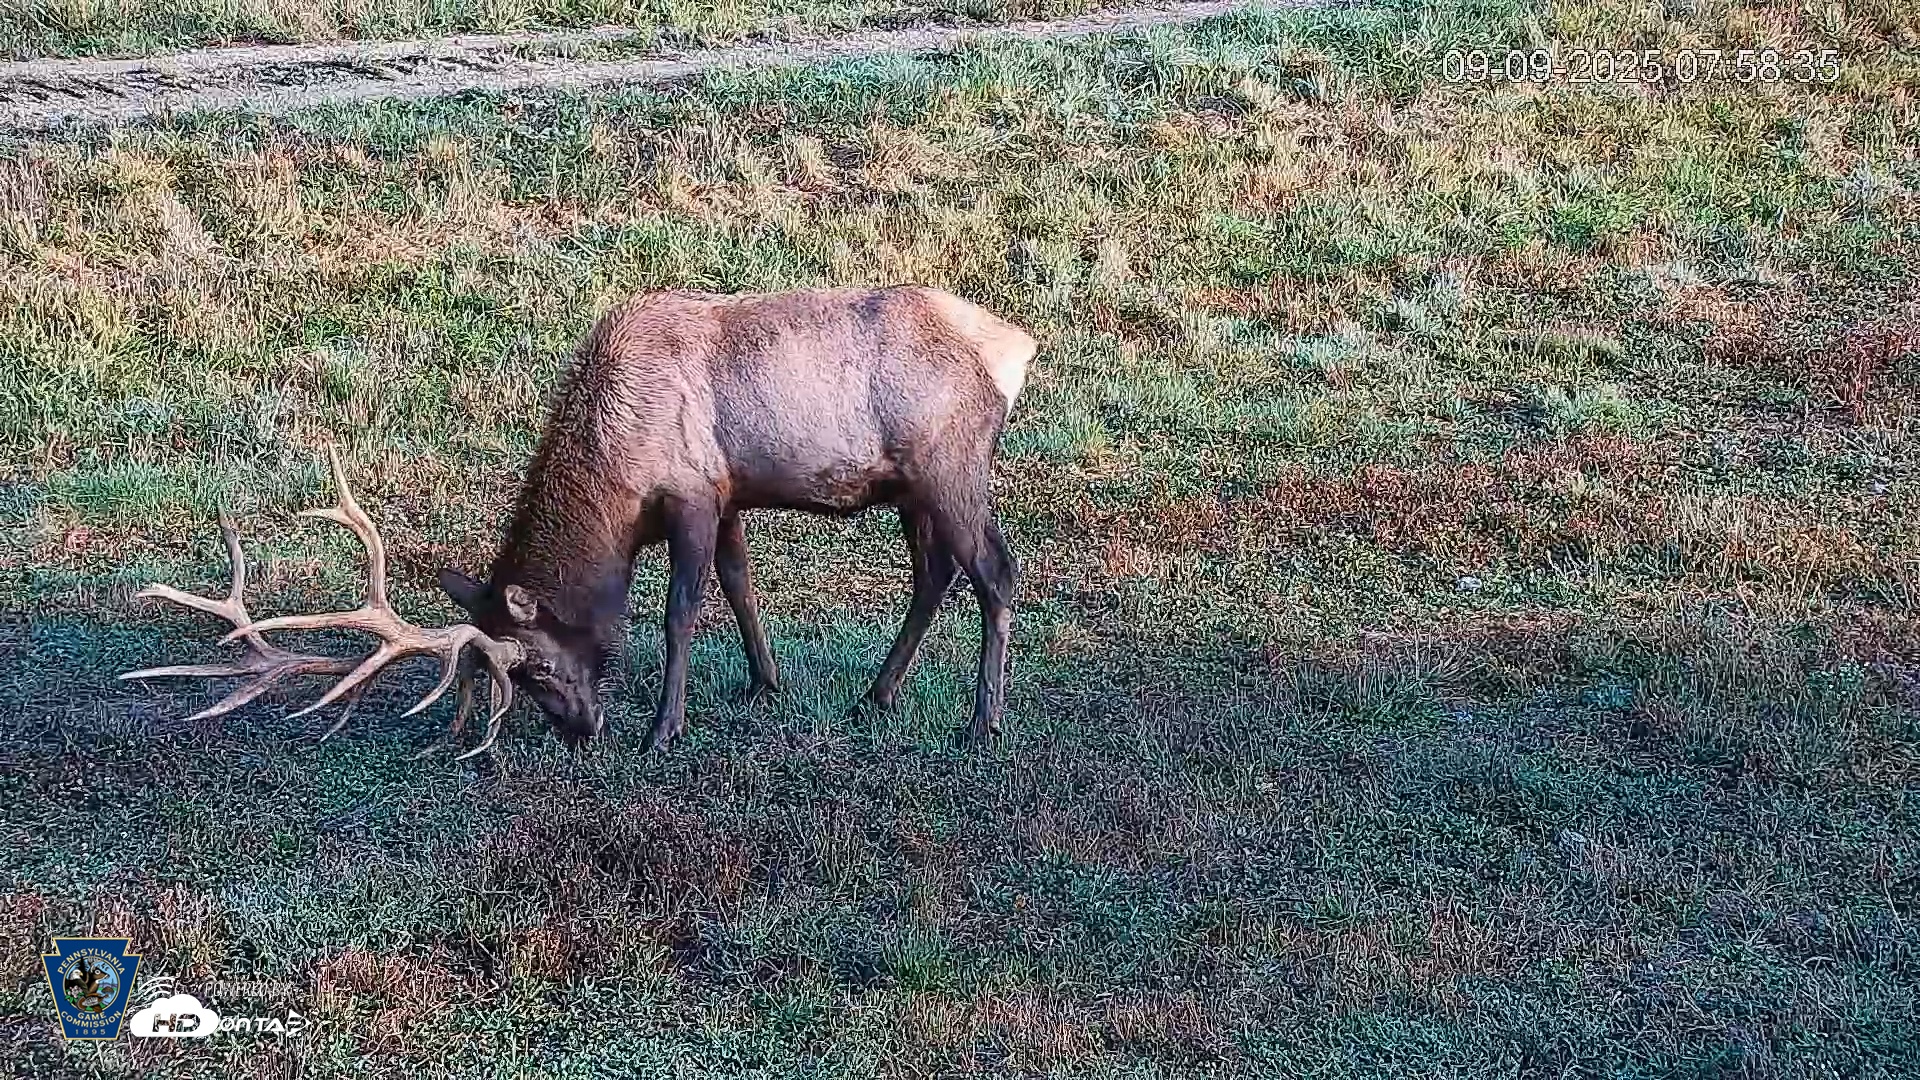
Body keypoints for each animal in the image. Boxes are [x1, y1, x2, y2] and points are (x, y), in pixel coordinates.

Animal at [121, 285, 1037, 758]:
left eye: (534, 669)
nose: (581, 734)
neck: (618, 478)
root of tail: (1017, 347)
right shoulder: (729, 490)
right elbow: (740, 585)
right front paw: (763, 681)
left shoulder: (692, 490)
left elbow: (679, 611)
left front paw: (664, 729)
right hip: (912, 489)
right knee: (935, 574)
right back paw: (877, 694)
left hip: (951, 463)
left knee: (996, 570)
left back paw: (983, 720)